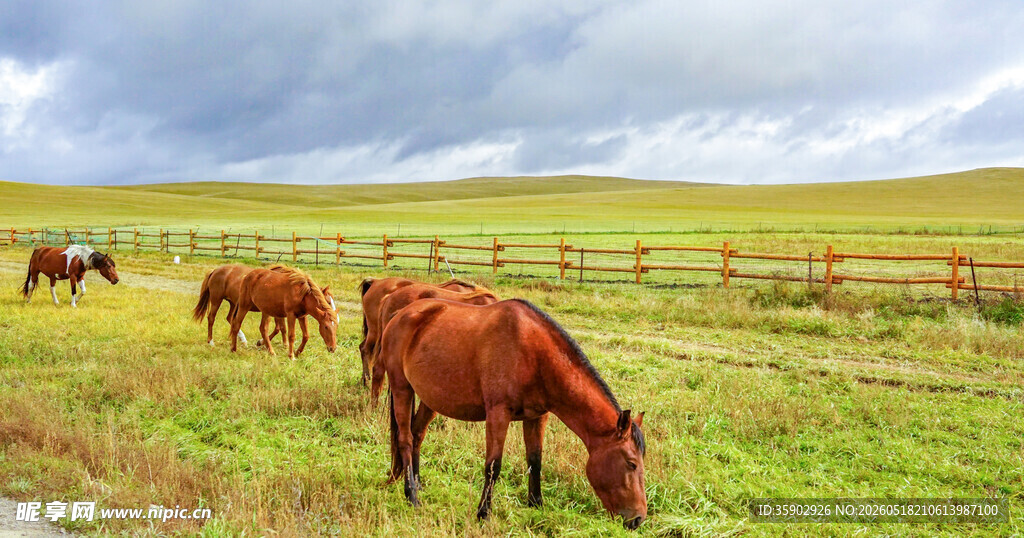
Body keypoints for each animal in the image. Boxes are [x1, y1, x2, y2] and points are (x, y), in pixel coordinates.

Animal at [192, 264, 337, 353]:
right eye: (328, 302)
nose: (333, 348)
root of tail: (215, 270)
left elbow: (280, 329)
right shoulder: (280, 313)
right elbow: (281, 328)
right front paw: (278, 344)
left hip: (233, 303)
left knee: (231, 320)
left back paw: (242, 340)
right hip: (217, 300)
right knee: (212, 318)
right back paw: (211, 342)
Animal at [371, 298, 647, 529]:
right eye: (631, 463)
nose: (638, 519)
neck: (534, 354)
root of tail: (400, 314)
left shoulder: (537, 417)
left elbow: (535, 461)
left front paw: (536, 505)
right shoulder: (498, 414)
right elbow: (493, 466)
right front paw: (483, 514)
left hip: (430, 398)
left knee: (417, 434)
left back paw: (417, 484)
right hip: (402, 389)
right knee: (406, 440)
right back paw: (412, 496)